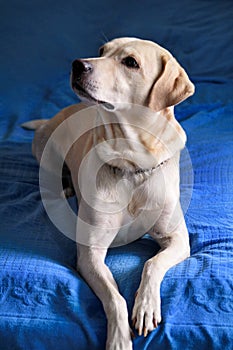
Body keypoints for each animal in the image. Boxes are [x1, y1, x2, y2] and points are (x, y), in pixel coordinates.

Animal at [22, 37, 194, 348]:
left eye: (131, 62)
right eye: (102, 51)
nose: (78, 64)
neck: (133, 166)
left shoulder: (178, 239)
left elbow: (152, 264)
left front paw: (146, 306)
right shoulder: (90, 254)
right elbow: (115, 298)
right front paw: (118, 338)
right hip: (46, 152)